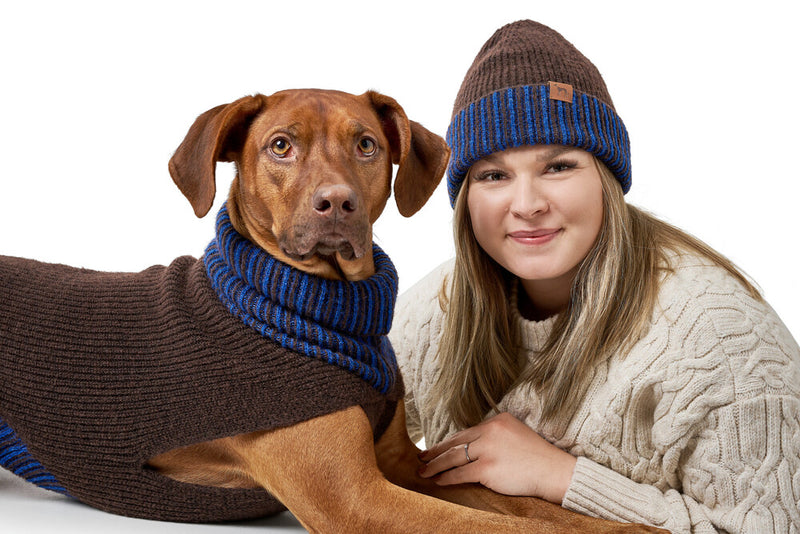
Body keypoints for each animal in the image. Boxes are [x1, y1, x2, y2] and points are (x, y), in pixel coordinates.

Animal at [0, 90, 664, 532]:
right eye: (280, 146)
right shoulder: (360, 497)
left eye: (366, 145)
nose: (337, 203)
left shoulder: (405, 465)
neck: (309, 310)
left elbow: (522, 503)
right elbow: (506, 527)